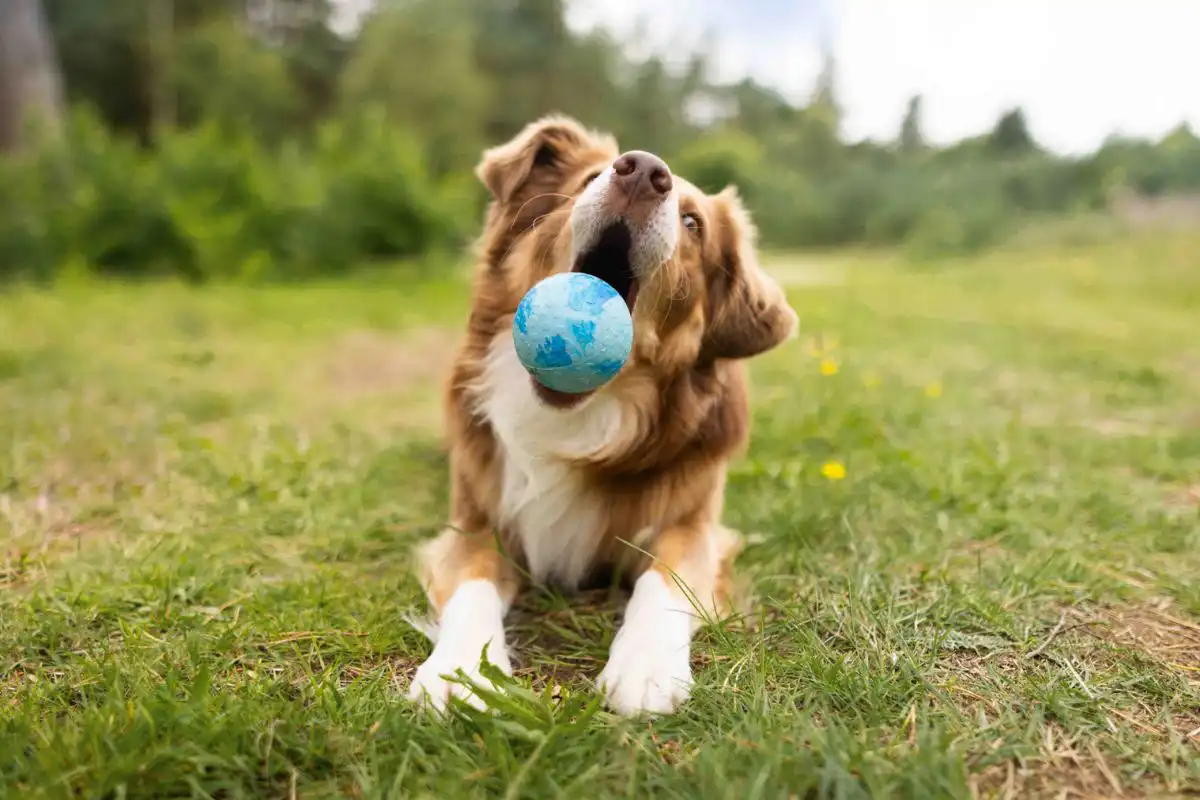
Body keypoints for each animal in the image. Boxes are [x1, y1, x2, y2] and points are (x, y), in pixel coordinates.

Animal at [408, 113, 801, 719]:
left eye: (693, 224)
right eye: (590, 177)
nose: (642, 172)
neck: (576, 420)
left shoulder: (692, 525)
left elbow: (665, 582)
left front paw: (646, 666)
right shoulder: (473, 524)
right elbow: (474, 585)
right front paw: (460, 671)